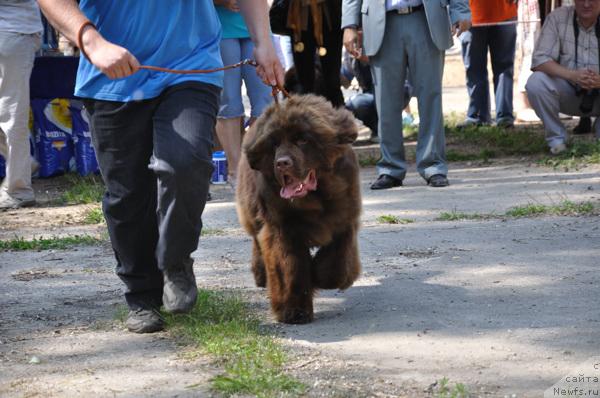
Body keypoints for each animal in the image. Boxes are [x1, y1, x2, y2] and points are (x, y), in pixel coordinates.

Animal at [234, 95, 360, 324]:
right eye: (275, 144)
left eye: (303, 140)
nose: (282, 163)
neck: (316, 198)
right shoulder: (282, 229)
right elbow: (289, 269)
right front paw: (294, 311)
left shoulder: (345, 219)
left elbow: (336, 265)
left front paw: (319, 276)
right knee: (257, 241)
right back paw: (261, 275)